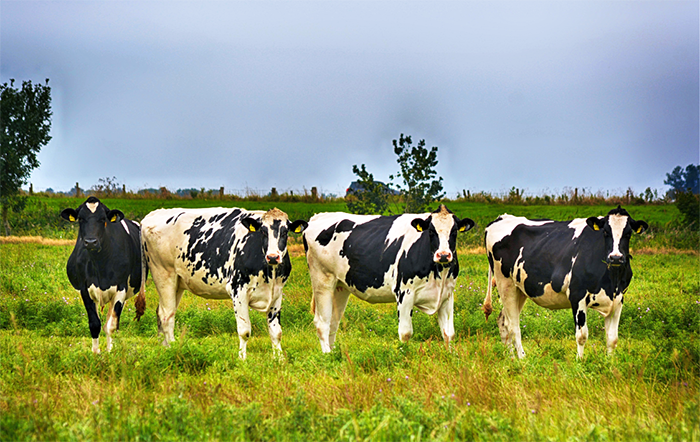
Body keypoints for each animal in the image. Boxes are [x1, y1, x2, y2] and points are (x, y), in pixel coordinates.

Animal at [60, 195, 146, 354]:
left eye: (102, 219)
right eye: (81, 219)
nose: (91, 242)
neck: (100, 263)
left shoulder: (121, 289)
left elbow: (111, 325)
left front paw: (109, 351)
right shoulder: (85, 289)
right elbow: (95, 324)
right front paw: (95, 353)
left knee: (113, 321)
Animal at [140, 207, 306, 360]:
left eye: (285, 232)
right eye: (263, 232)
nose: (273, 257)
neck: (269, 272)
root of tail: (152, 214)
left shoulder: (277, 293)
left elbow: (276, 332)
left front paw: (279, 360)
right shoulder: (238, 290)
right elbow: (245, 331)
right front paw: (242, 360)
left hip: (177, 283)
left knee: (163, 312)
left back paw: (163, 348)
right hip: (164, 274)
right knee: (166, 315)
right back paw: (173, 349)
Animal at [302, 204, 476, 352]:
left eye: (454, 232)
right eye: (431, 232)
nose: (444, 255)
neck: (438, 272)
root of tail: (318, 216)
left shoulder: (447, 294)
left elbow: (449, 333)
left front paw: (450, 357)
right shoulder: (404, 293)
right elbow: (406, 333)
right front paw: (405, 357)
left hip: (340, 286)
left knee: (333, 322)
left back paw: (335, 355)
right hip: (322, 280)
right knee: (322, 323)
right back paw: (327, 357)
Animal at [484, 207, 648, 360]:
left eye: (628, 233)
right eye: (606, 232)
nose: (616, 257)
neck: (611, 281)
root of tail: (502, 217)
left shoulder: (618, 299)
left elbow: (612, 338)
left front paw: (610, 363)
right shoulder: (577, 296)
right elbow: (582, 335)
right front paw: (580, 362)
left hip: (520, 289)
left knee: (503, 320)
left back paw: (510, 357)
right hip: (505, 283)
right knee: (513, 326)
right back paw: (522, 358)